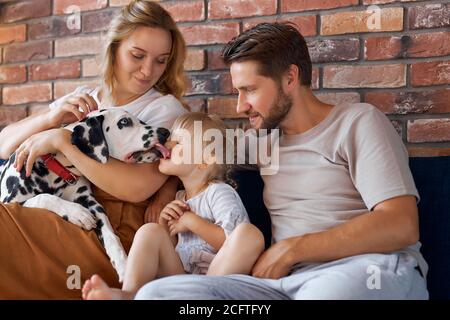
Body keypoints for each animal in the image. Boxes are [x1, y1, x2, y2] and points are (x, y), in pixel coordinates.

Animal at [0, 109, 171, 282]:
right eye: (124, 122)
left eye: (140, 120)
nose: (165, 132)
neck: (57, 168)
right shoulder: (9, 201)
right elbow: (45, 197)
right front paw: (77, 213)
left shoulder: (93, 204)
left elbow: (110, 235)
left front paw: (123, 264)